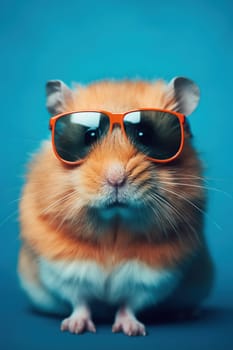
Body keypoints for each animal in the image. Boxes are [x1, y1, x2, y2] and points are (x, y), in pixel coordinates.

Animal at [18, 77, 213, 336]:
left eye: (144, 134)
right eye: (89, 135)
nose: (116, 179)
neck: (114, 227)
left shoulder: (153, 277)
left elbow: (129, 304)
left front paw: (132, 330)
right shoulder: (64, 270)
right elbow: (79, 301)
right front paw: (75, 328)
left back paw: (189, 313)